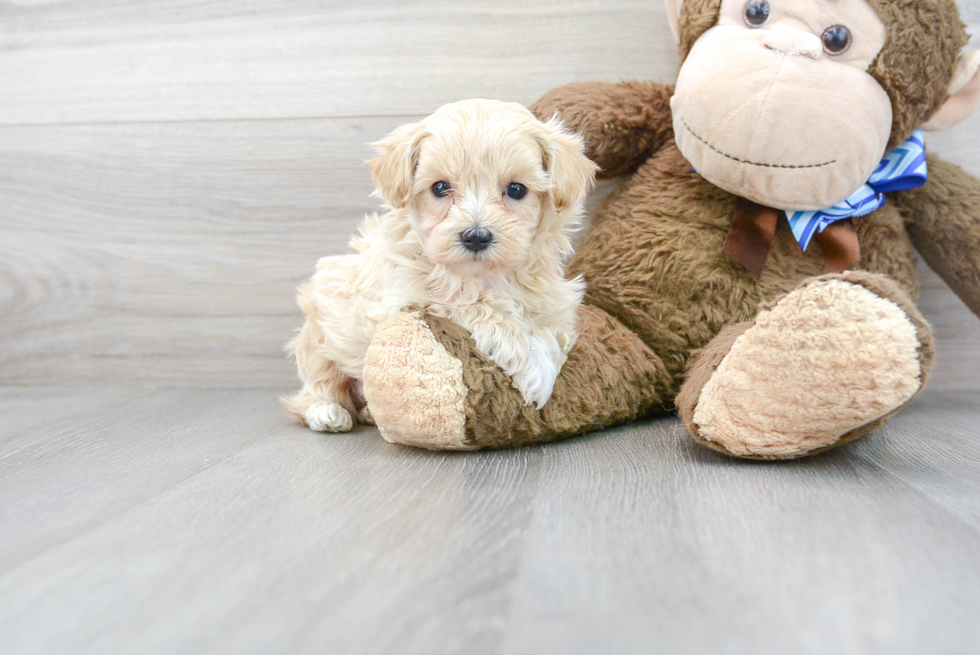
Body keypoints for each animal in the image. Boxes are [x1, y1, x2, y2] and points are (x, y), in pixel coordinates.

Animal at [280, 98, 592, 436]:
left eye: (517, 190)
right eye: (440, 187)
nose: (476, 236)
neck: (485, 276)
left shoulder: (554, 302)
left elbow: (553, 335)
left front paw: (543, 369)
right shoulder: (407, 297)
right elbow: (473, 304)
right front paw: (531, 369)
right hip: (321, 328)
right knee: (316, 385)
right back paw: (327, 412)